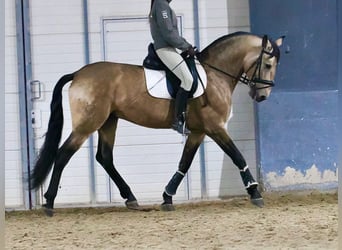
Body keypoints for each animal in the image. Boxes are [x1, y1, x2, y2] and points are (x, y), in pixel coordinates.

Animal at [31, 31, 284, 215]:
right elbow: (237, 156)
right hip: (88, 124)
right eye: (268, 65)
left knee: (105, 157)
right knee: (63, 155)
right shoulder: (215, 128)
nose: (263, 96)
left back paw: (131, 198)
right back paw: (49, 203)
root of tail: (78, 74)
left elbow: (184, 163)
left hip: (108, 122)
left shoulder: (198, 131)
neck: (215, 75)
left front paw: (167, 197)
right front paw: (255, 192)